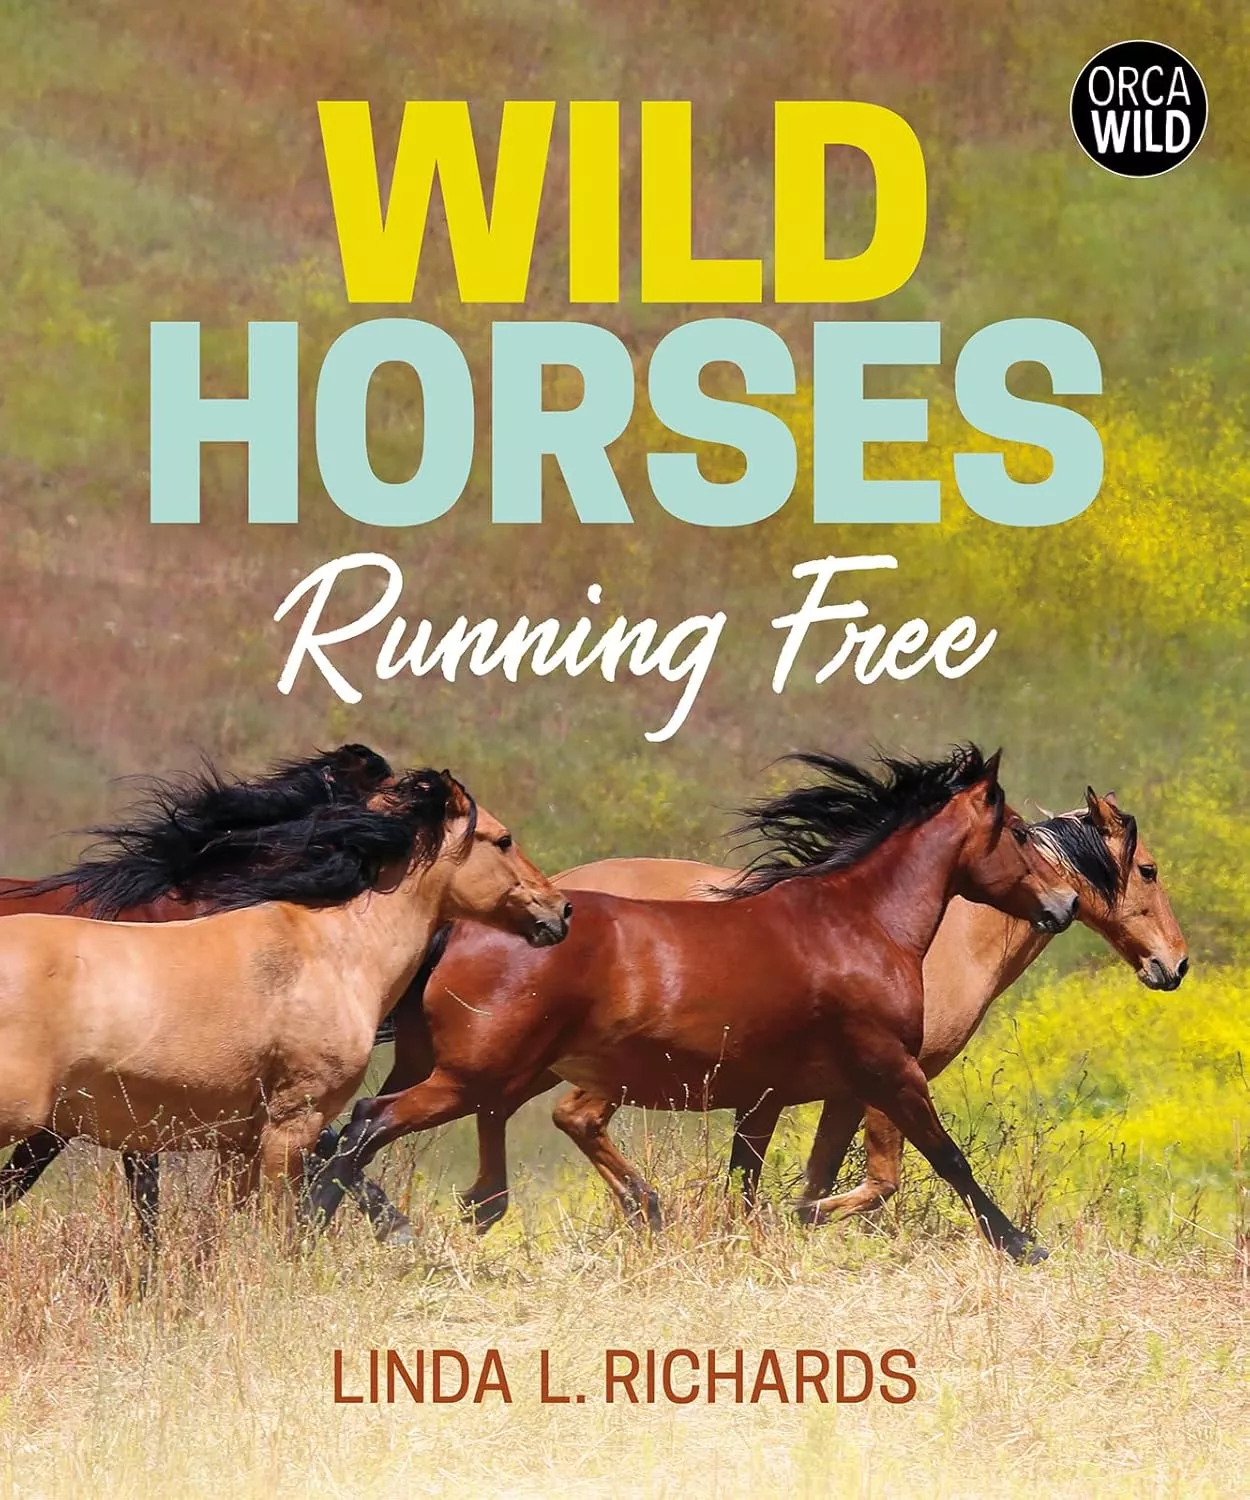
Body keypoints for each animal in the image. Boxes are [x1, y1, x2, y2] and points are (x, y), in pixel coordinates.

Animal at [308, 746, 1080, 1263]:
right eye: (1017, 831)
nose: (1064, 904)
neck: (859, 923)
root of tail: (458, 928)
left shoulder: (771, 1090)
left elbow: (757, 1178)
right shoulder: (891, 1069)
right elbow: (948, 1158)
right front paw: (1022, 1245)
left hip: (478, 1071)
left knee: (393, 1146)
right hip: (476, 1076)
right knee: (368, 1125)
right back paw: (356, 1233)